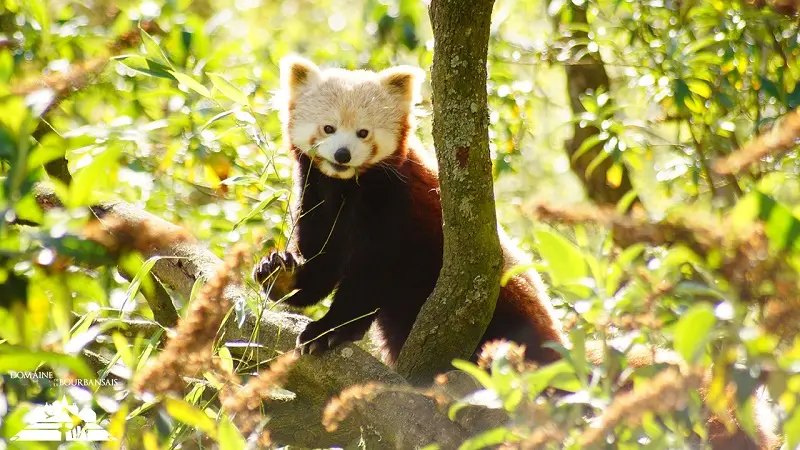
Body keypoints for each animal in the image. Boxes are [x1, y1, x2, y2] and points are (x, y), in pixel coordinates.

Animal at [253, 57, 780, 450]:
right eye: (328, 128)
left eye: (363, 133)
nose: (342, 156)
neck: (350, 190)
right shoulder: (320, 196)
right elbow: (320, 264)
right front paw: (281, 276)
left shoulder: (396, 213)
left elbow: (367, 282)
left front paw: (326, 330)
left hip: (511, 318)